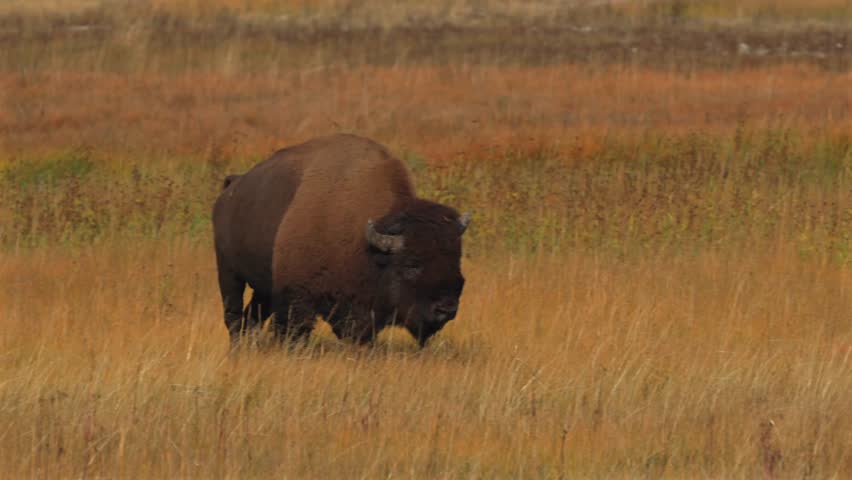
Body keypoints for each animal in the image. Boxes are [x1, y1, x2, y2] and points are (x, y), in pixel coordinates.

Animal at [212, 134, 470, 347]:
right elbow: (293, 330)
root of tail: (230, 187)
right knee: (233, 315)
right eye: (412, 264)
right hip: (228, 273)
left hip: (263, 287)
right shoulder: (295, 297)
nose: (446, 309)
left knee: (252, 317)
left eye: (456, 260)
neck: (366, 245)